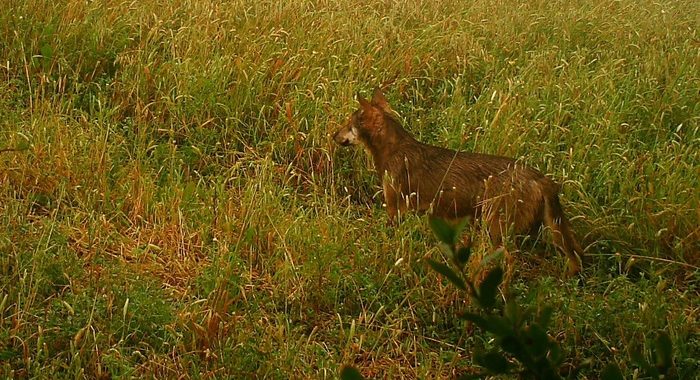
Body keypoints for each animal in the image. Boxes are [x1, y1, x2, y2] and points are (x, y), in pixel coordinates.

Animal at [334, 87, 584, 274]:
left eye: (347, 124)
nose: (333, 135)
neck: (394, 151)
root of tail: (541, 177)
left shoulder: (395, 210)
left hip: (498, 233)